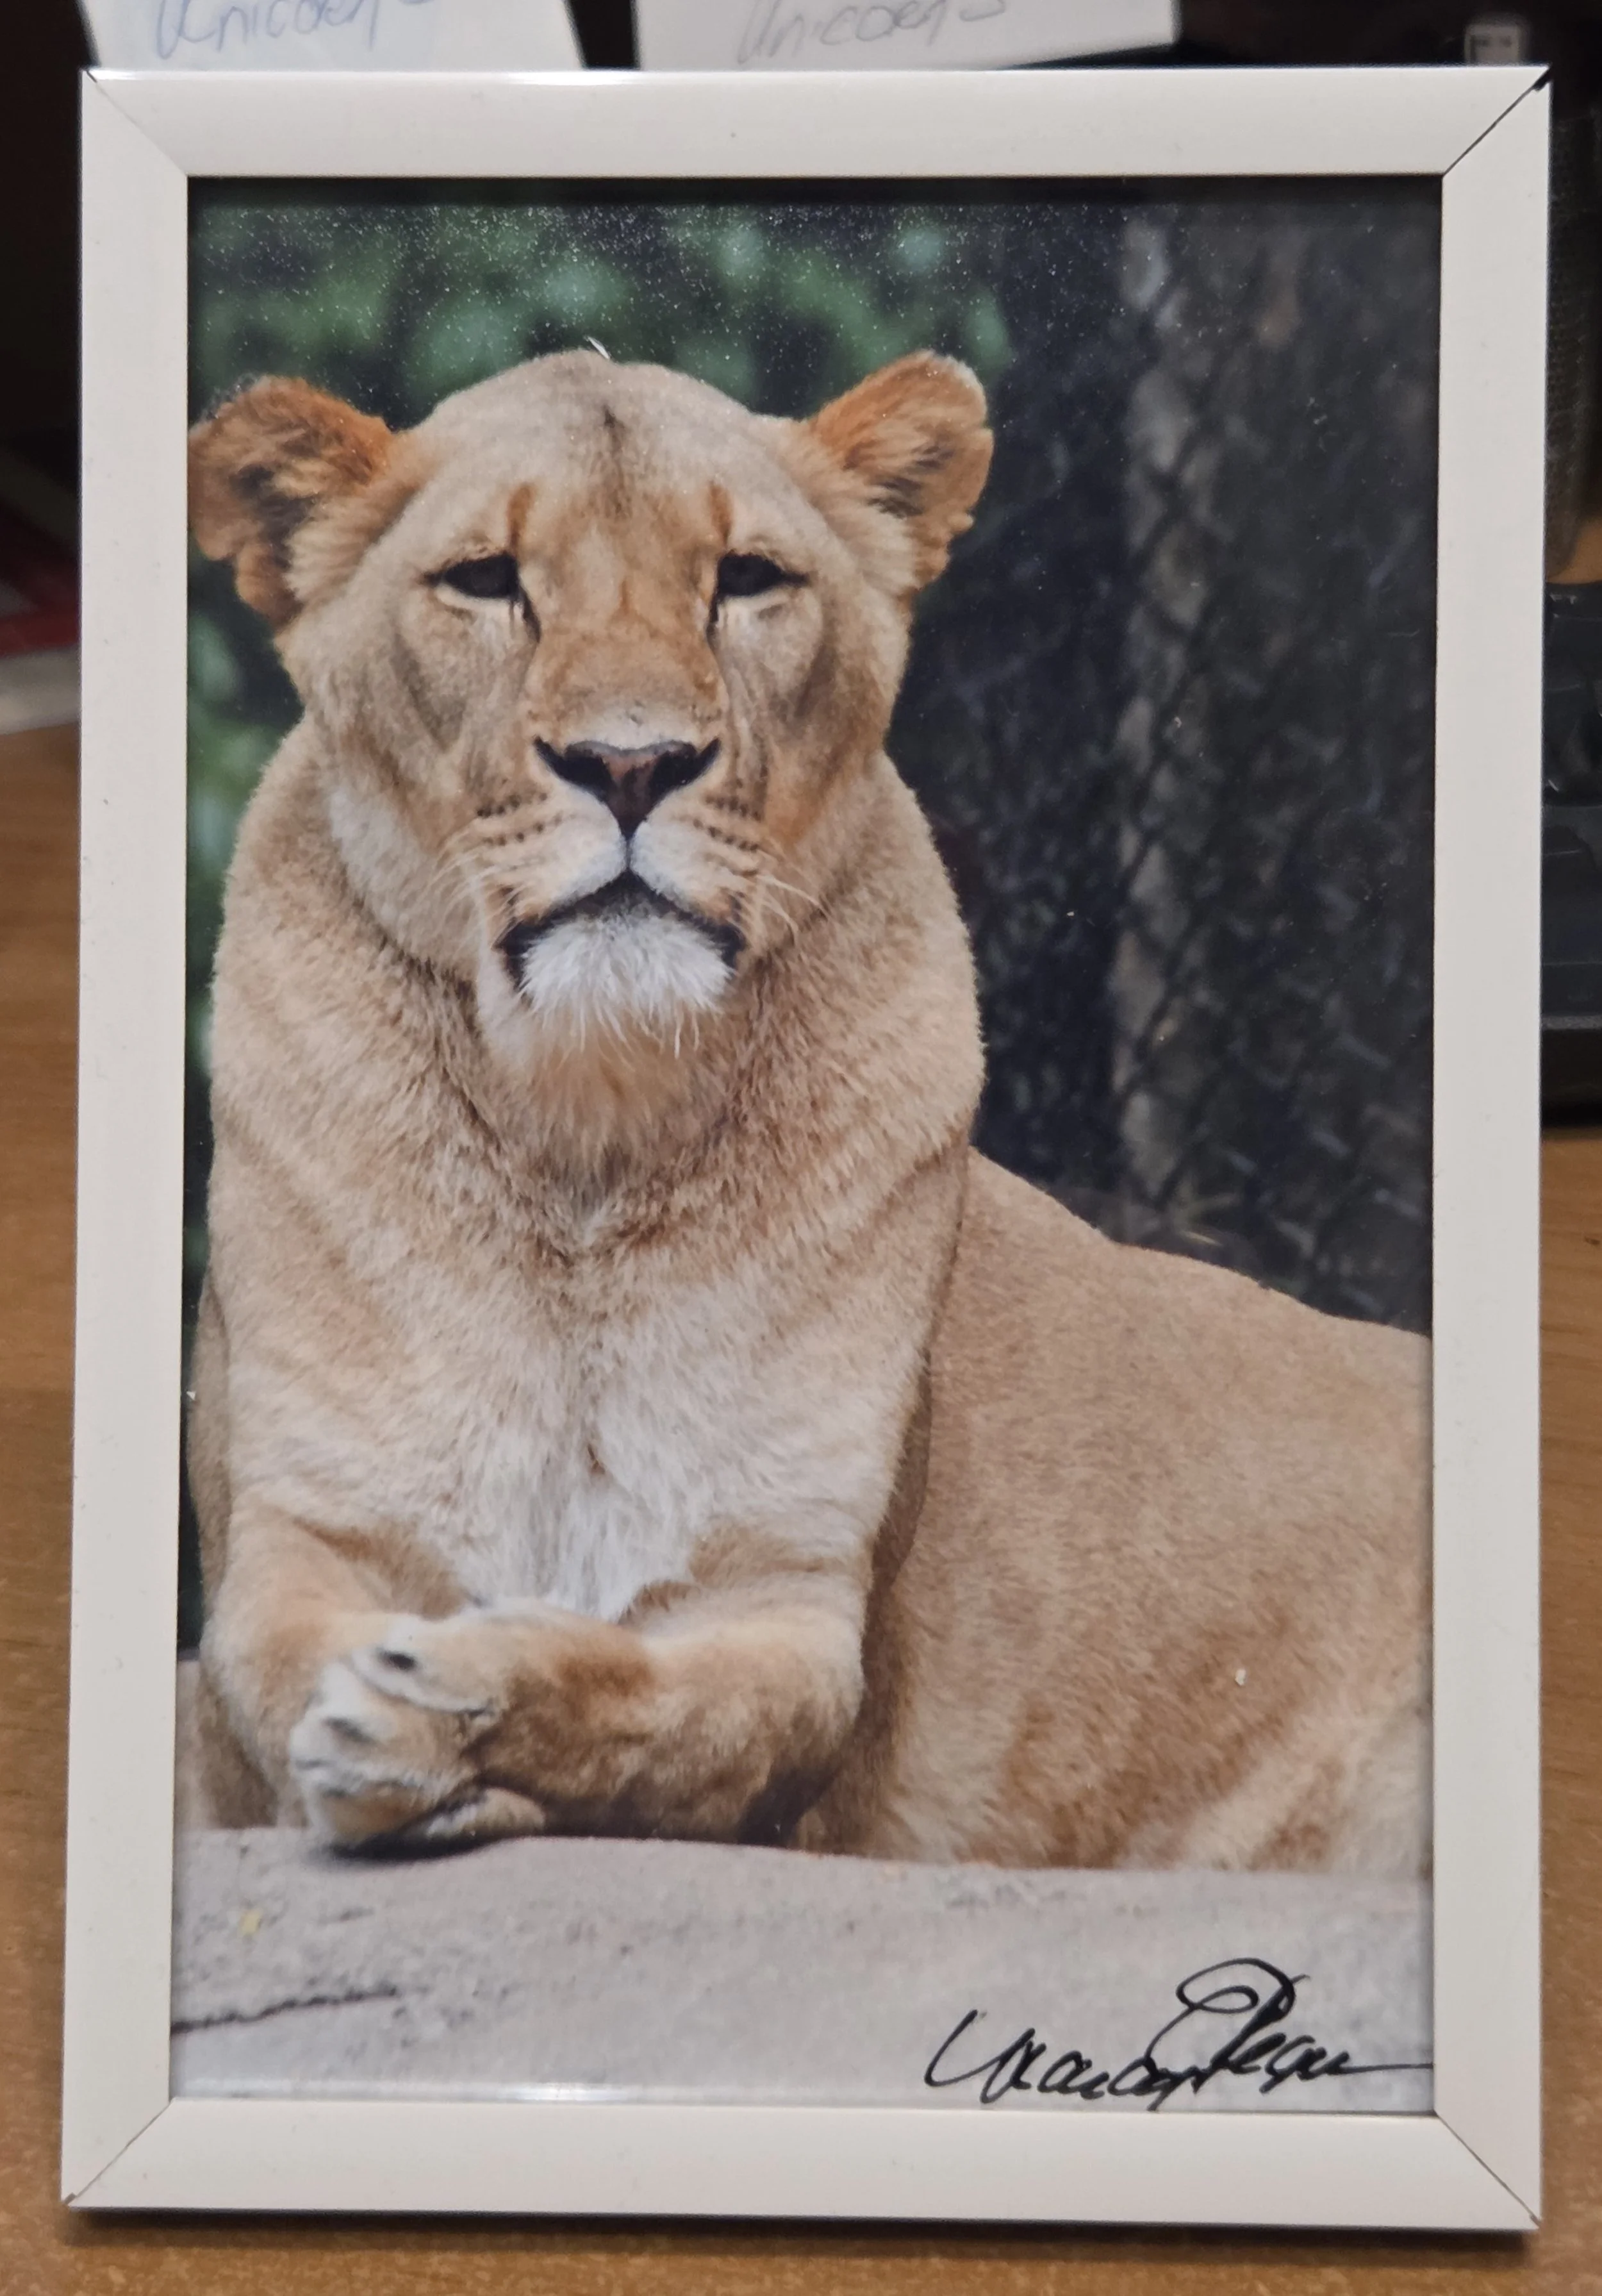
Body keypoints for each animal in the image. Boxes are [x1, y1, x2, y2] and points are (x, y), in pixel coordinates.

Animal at [179, 347, 1429, 1875]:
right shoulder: (297, 1545)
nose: (632, 764)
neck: (585, 1132)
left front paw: (449, 1709)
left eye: (747, 579)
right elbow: (265, 1676)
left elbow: (670, 1718)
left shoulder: (791, 1599)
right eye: (483, 581)